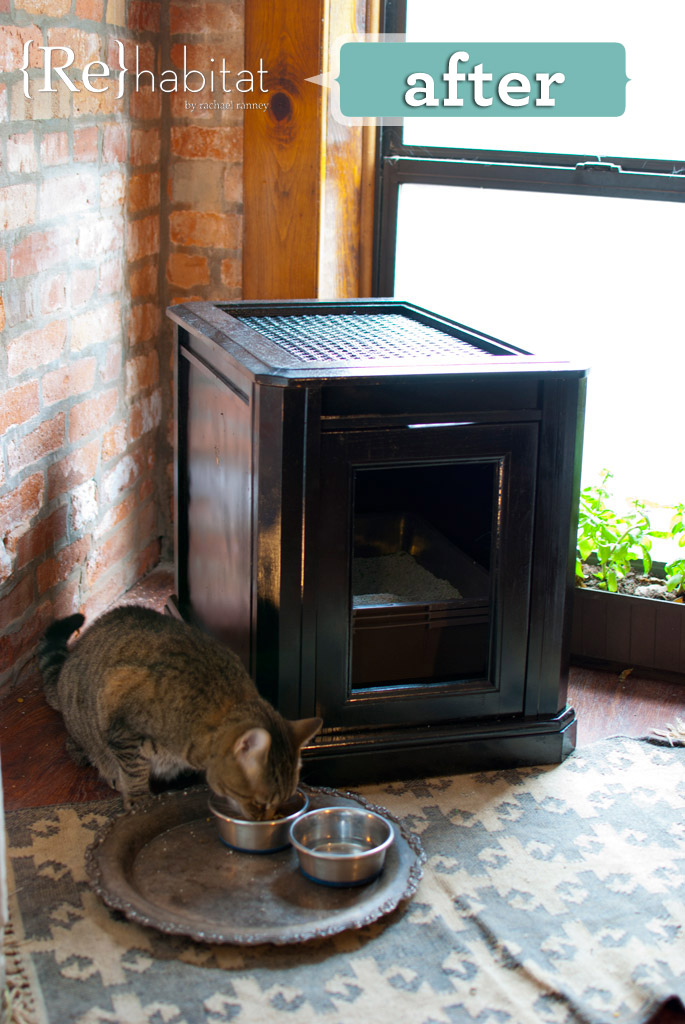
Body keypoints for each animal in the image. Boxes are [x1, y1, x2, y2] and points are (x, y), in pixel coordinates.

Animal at [38, 606, 321, 815]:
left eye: (281, 802)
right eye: (261, 803)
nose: (267, 819)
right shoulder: (118, 708)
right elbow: (134, 770)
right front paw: (139, 798)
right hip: (84, 722)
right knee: (79, 746)